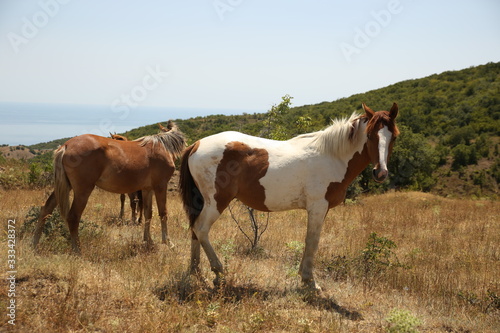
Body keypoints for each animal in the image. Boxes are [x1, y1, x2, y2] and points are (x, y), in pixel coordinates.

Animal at [33, 119, 186, 252]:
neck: (162, 147)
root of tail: (65, 146)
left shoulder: (147, 189)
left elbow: (148, 213)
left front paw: (148, 241)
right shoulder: (160, 186)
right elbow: (163, 213)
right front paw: (168, 242)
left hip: (64, 186)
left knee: (46, 209)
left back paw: (34, 245)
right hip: (82, 190)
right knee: (73, 217)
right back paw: (77, 250)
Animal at [180, 103, 398, 288]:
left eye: (394, 136)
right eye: (369, 135)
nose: (380, 173)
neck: (332, 156)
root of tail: (196, 144)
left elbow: (310, 241)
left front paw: (303, 276)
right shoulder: (318, 207)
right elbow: (312, 242)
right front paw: (310, 282)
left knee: (194, 231)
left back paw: (196, 272)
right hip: (216, 202)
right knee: (201, 229)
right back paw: (218, 272)